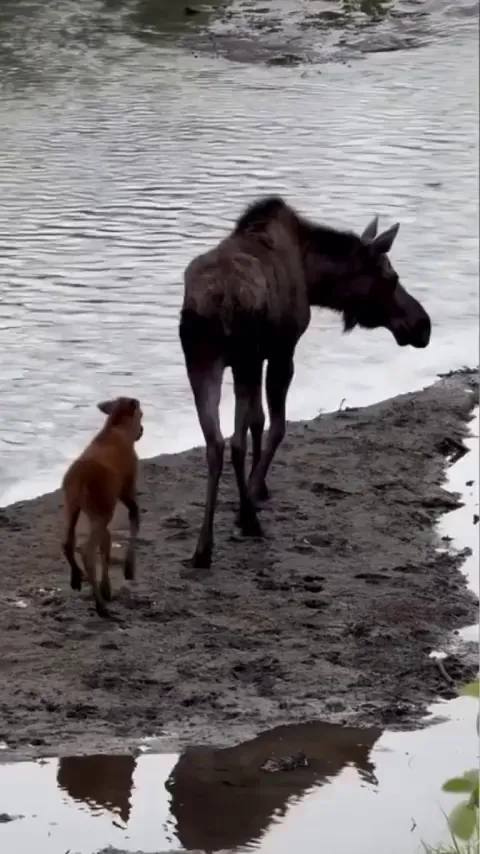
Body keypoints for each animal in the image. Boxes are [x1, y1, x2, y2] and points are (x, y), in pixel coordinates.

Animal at [61, 397, 143, 618]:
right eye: (141, 415)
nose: (141, 430)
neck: (116, 427)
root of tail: (80, 480)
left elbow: (106, 547)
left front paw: (107, 588)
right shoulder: (126, 489)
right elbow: (135, 517)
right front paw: (129, 568)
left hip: (73, 507)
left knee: (68, 543)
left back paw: (76, 578)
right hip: (100, 510)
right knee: (87, 552)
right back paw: (100, 606)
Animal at [178, 196, 432, 571]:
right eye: (392, 276)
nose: (423, 324)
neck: (314, 280)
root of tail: (213, 302)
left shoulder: (264, 355)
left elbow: (259, 421)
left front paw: (258, 490)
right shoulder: (283, 350)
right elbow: (276, 426)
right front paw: (253, 493)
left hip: (202, 363)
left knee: (215, 443)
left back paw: (202, 548)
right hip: (241, 359)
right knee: (234, 441)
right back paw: (249, 521)